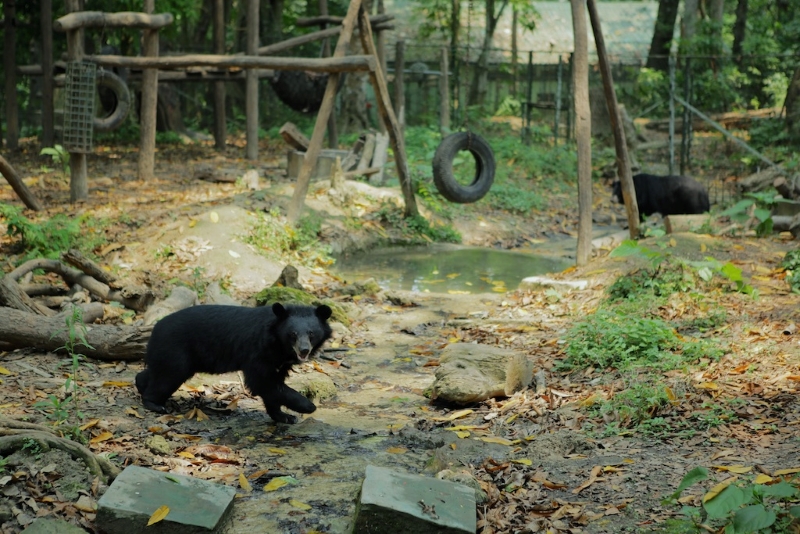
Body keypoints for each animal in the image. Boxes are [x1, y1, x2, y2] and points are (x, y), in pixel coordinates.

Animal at [134, 304, 332, 426]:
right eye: (292, 334)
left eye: (311, 333)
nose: (304, 350)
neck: (279, 346)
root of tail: (154, 329)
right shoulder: (258, 351)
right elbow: (263, 382)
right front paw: (307, 406)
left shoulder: (278, 361)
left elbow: (273, 386)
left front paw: (285, 417)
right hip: (176, 350)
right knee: (168, 376)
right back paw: (155, 404)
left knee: (156, 372)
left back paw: (141, 384)